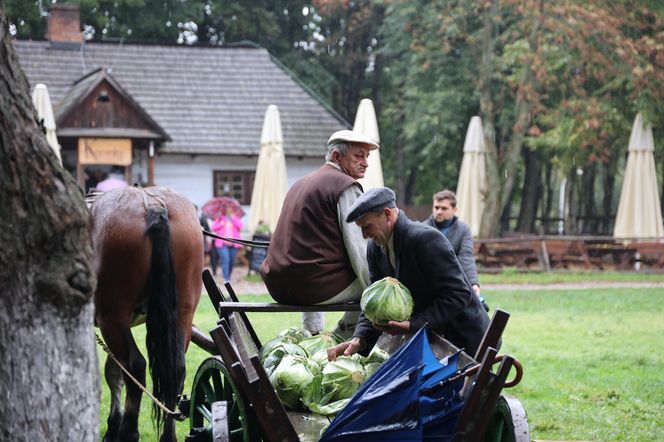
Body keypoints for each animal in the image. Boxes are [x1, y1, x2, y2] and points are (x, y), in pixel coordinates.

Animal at [89, 186, 202, 442]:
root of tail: (153, 205)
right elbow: (113, 372)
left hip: (112, 316)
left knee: (135, 367)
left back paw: (128, 432)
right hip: (183, 313)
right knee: (176, 371)